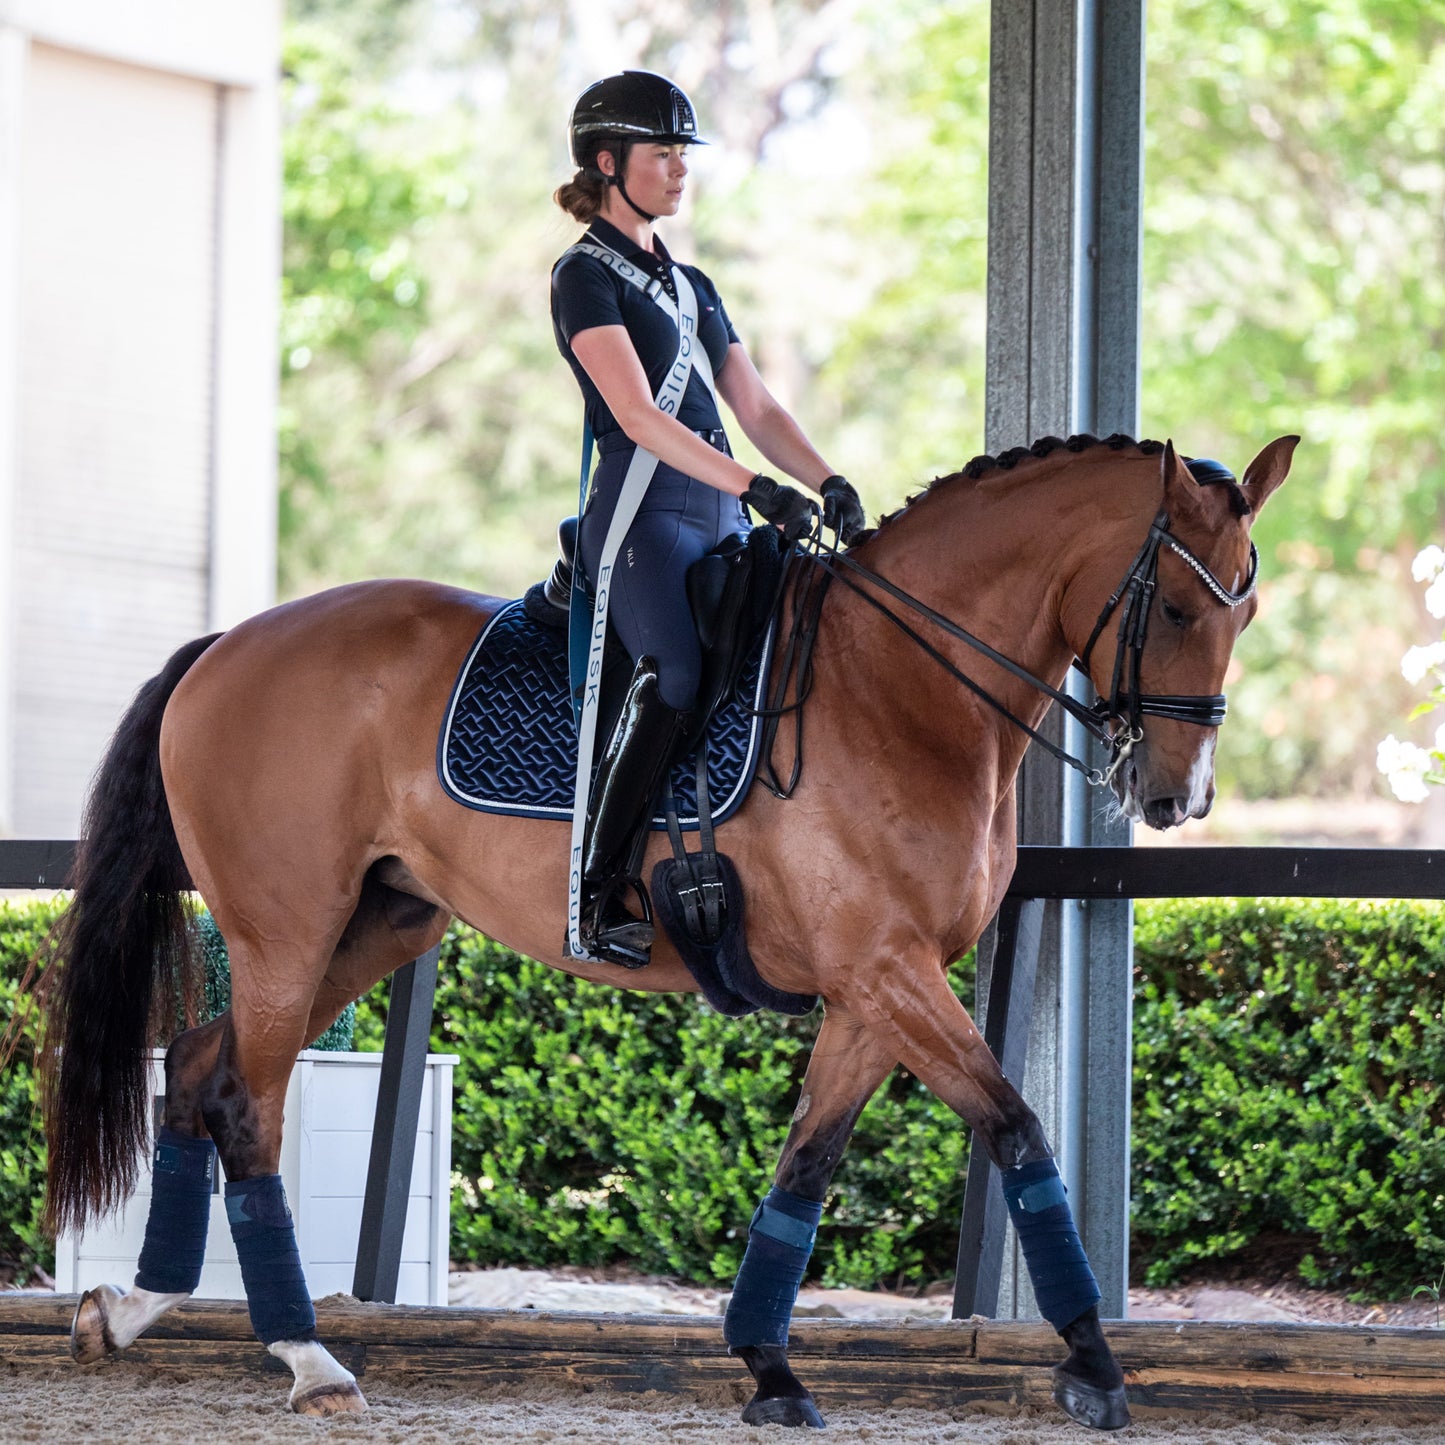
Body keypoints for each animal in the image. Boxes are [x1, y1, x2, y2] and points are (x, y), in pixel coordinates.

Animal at [36, 431, 1294, 1429]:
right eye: (1175, 606)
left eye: (1246, 606)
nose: (1177, 796)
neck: (900, 689)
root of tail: (225, 645)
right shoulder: (886, 971)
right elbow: (1017, 1127)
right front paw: (1092, 1360)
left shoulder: (873, 989)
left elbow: (806, 1166)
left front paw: (769, 1366)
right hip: (287, 933)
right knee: (248, 1103)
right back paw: (308, 1358)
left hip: (369, 925)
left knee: (201, 1066)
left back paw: (134, 1304)